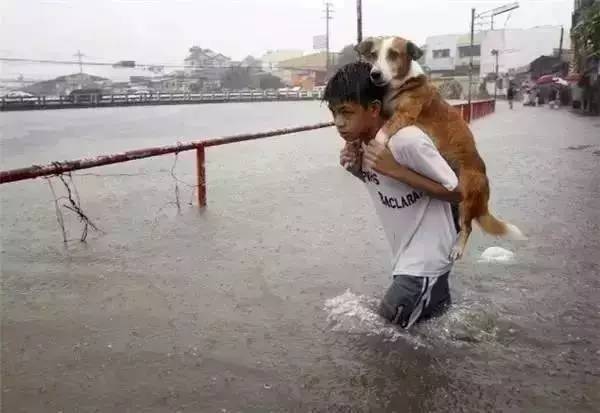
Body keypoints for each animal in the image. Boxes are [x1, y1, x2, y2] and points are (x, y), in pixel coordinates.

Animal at [356, 36, 524, 260]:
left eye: (393, 54)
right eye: (373, 55)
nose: (375, 74)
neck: (402, 84)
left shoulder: (405, 115)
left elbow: (382, 132)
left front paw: (376, 146)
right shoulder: (386, 110)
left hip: (466, 196)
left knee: (468, 227)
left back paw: (457, 249)